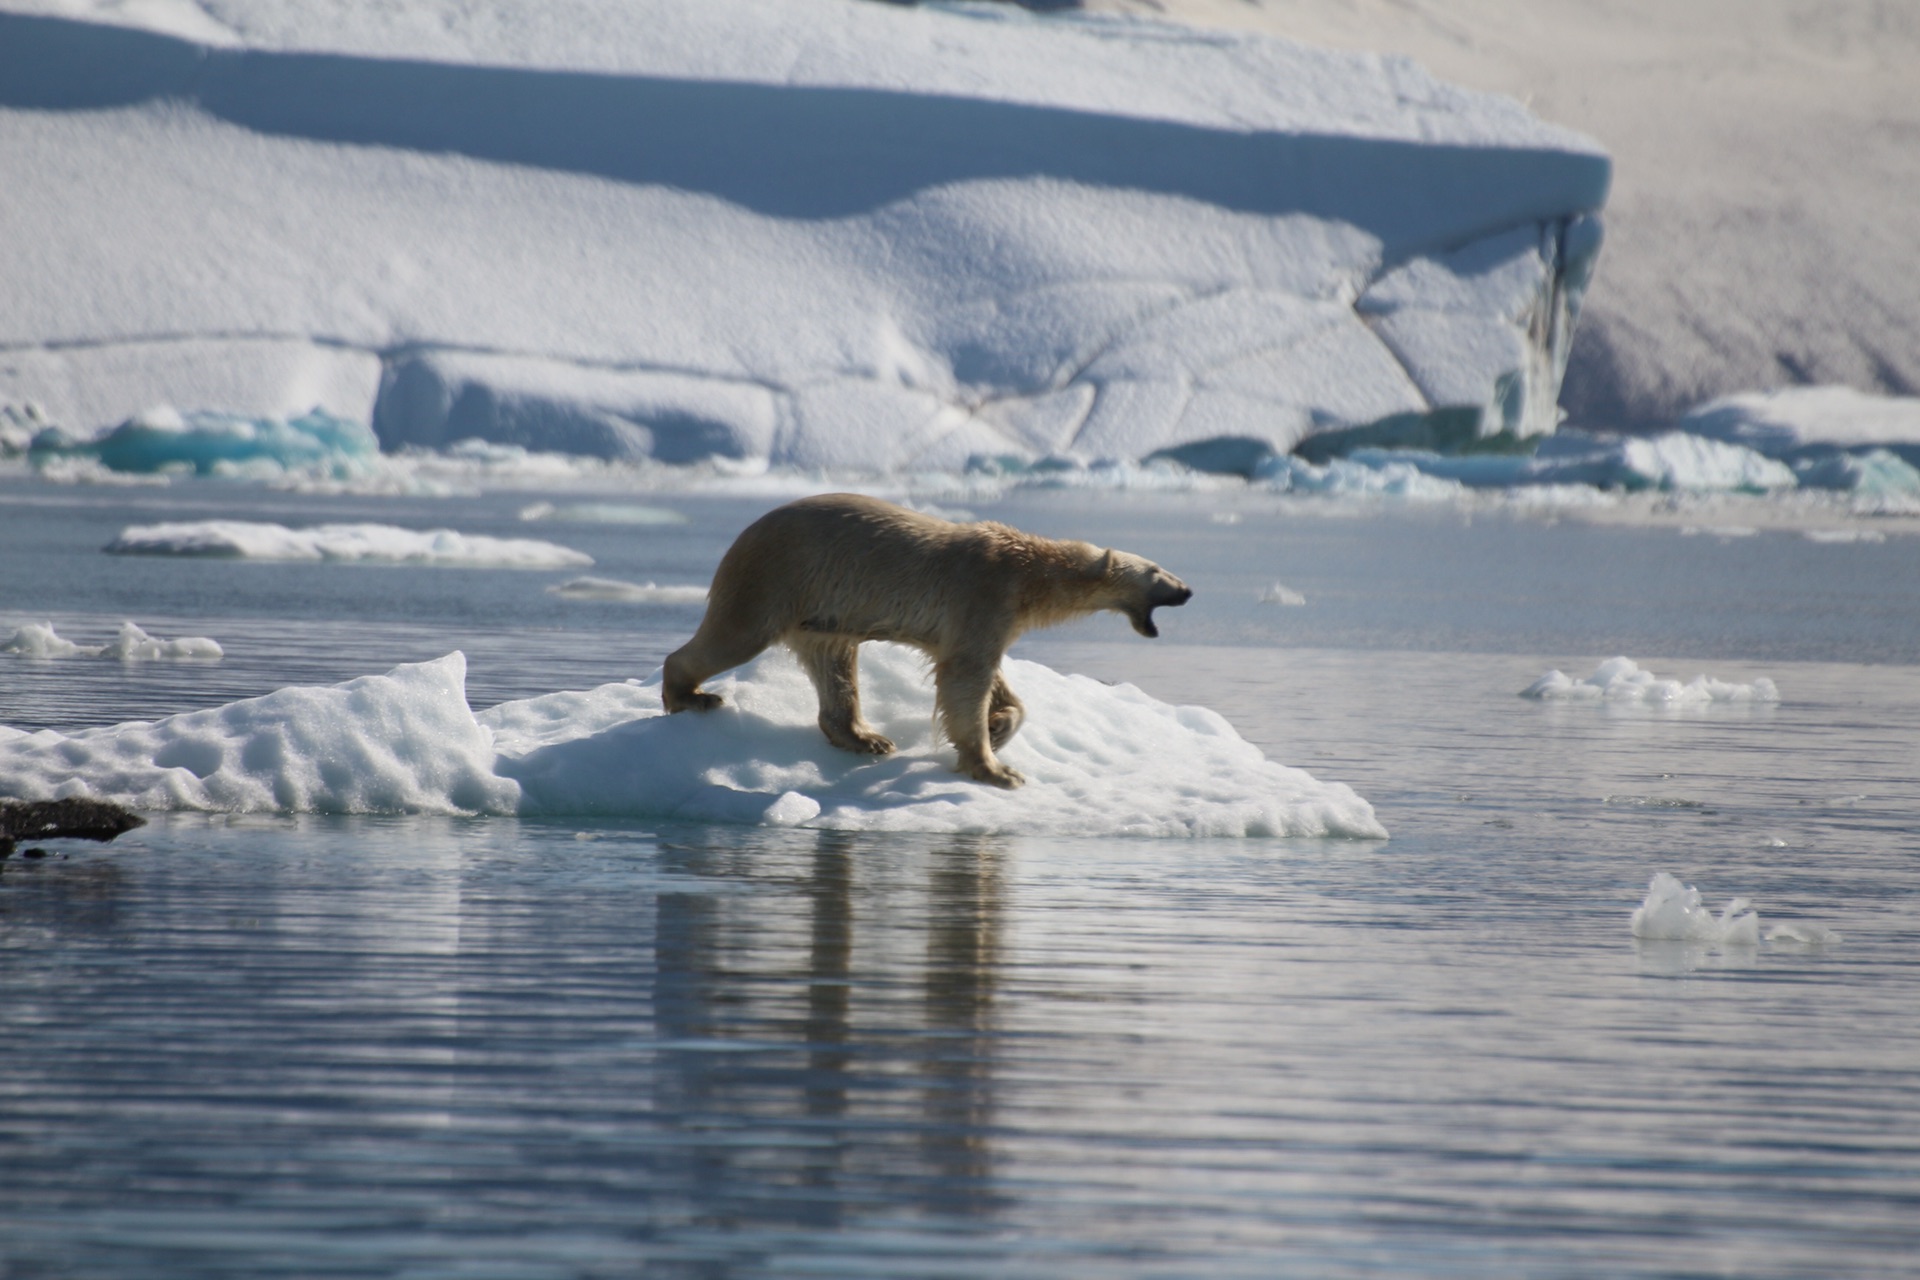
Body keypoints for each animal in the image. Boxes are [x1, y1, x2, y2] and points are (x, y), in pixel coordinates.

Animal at [668, 495, 1190, 786]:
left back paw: (866, 738)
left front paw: (1000, 727)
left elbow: (991, 678)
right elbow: (966, 677)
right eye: (1158, 570)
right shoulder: (983, 593)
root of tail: (744, 535)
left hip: (823, 609)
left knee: (835, 662)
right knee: (735, 635)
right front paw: (997, 770)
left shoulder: (990, 615)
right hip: (777, 576)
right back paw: (690, 694)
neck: (1028, 573)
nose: (1186, 590)